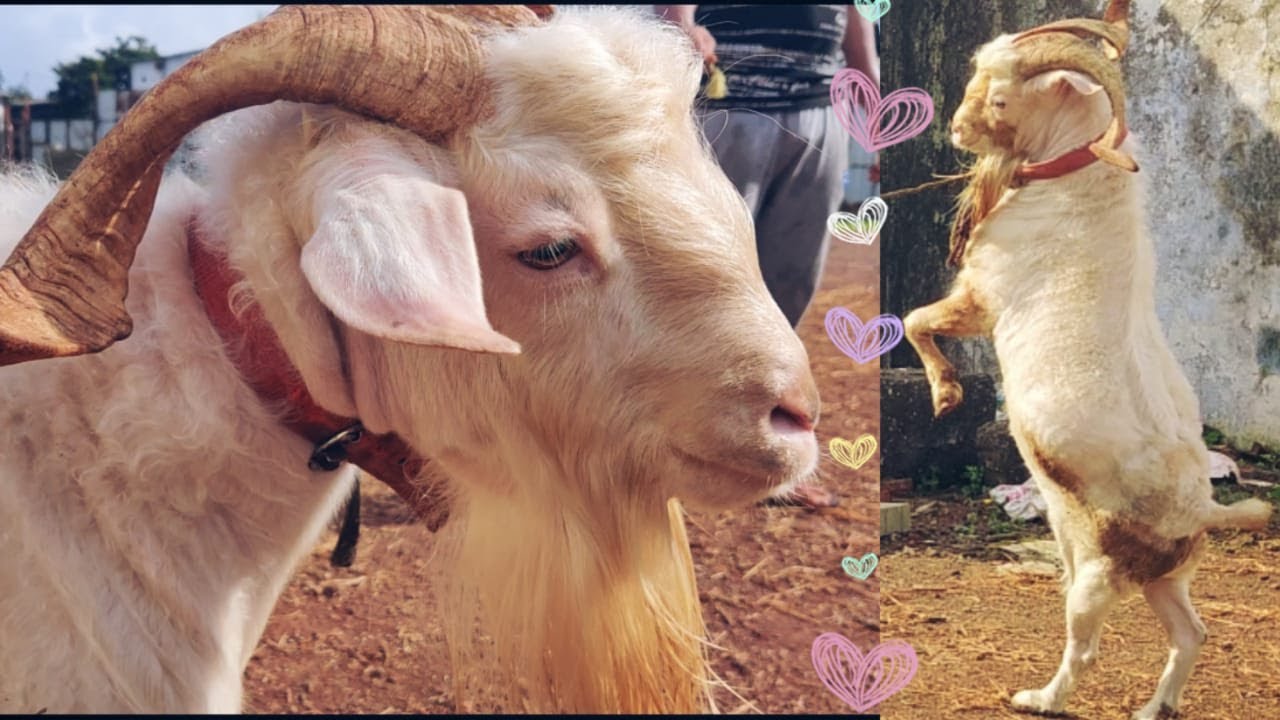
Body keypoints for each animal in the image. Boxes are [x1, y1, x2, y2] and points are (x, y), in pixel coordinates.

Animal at [901, 1, 1272, 718]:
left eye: (1001, 97)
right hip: (1162, 574)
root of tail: (1199, 510)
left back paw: (1039, 697)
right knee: (1191, 631)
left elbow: (916, 322)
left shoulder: (982, 299)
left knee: (1087, 646)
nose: (955, 129)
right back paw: (1155, 707)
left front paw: (945, 396)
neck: (1080, 186)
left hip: (1096, 576)